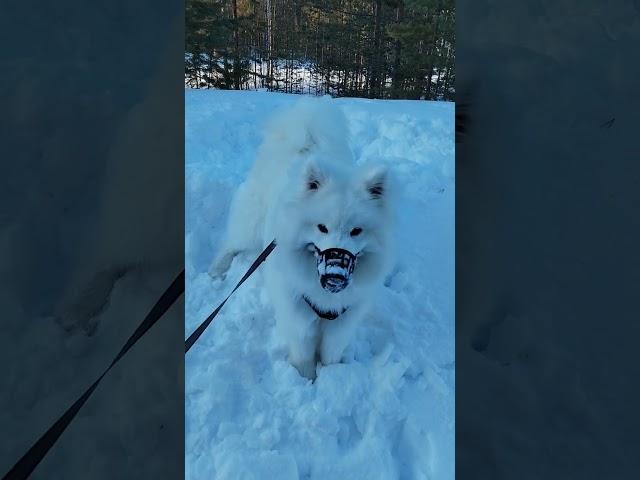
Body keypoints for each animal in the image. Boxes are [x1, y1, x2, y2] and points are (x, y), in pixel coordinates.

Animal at [211, 99, 396, 378]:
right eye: (322, 228)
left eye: (356, 231)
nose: (335, 274)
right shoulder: (296, 313)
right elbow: (304, 354)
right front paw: (307, 379)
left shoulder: (344, 319)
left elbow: (331, 353)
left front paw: (333, 378)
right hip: (250, 226)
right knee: (230, 245)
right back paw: (216, 271)